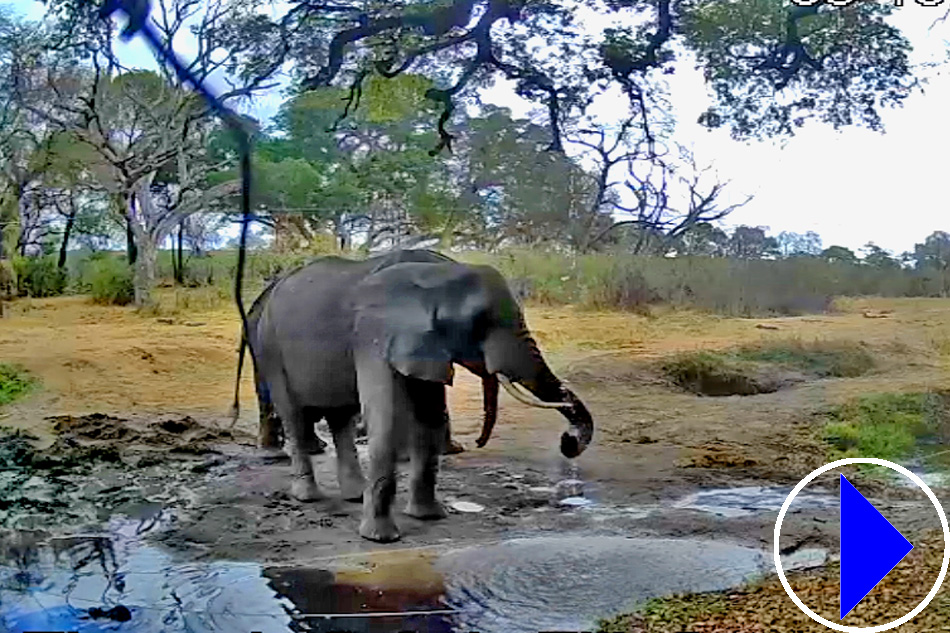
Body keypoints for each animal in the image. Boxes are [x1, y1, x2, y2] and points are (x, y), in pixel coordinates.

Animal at [253, 254, 596, 540]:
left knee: (340, 416)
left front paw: (428, 517)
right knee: (293, 415)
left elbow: (430, 417)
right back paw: (308, 496)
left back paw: (354, 494)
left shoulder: (426, 347)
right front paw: (381, 539)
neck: (435, 280)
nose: (568, 442)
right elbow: (386, 418)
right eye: (479, 322)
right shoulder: (374, 337)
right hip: (270, 347)